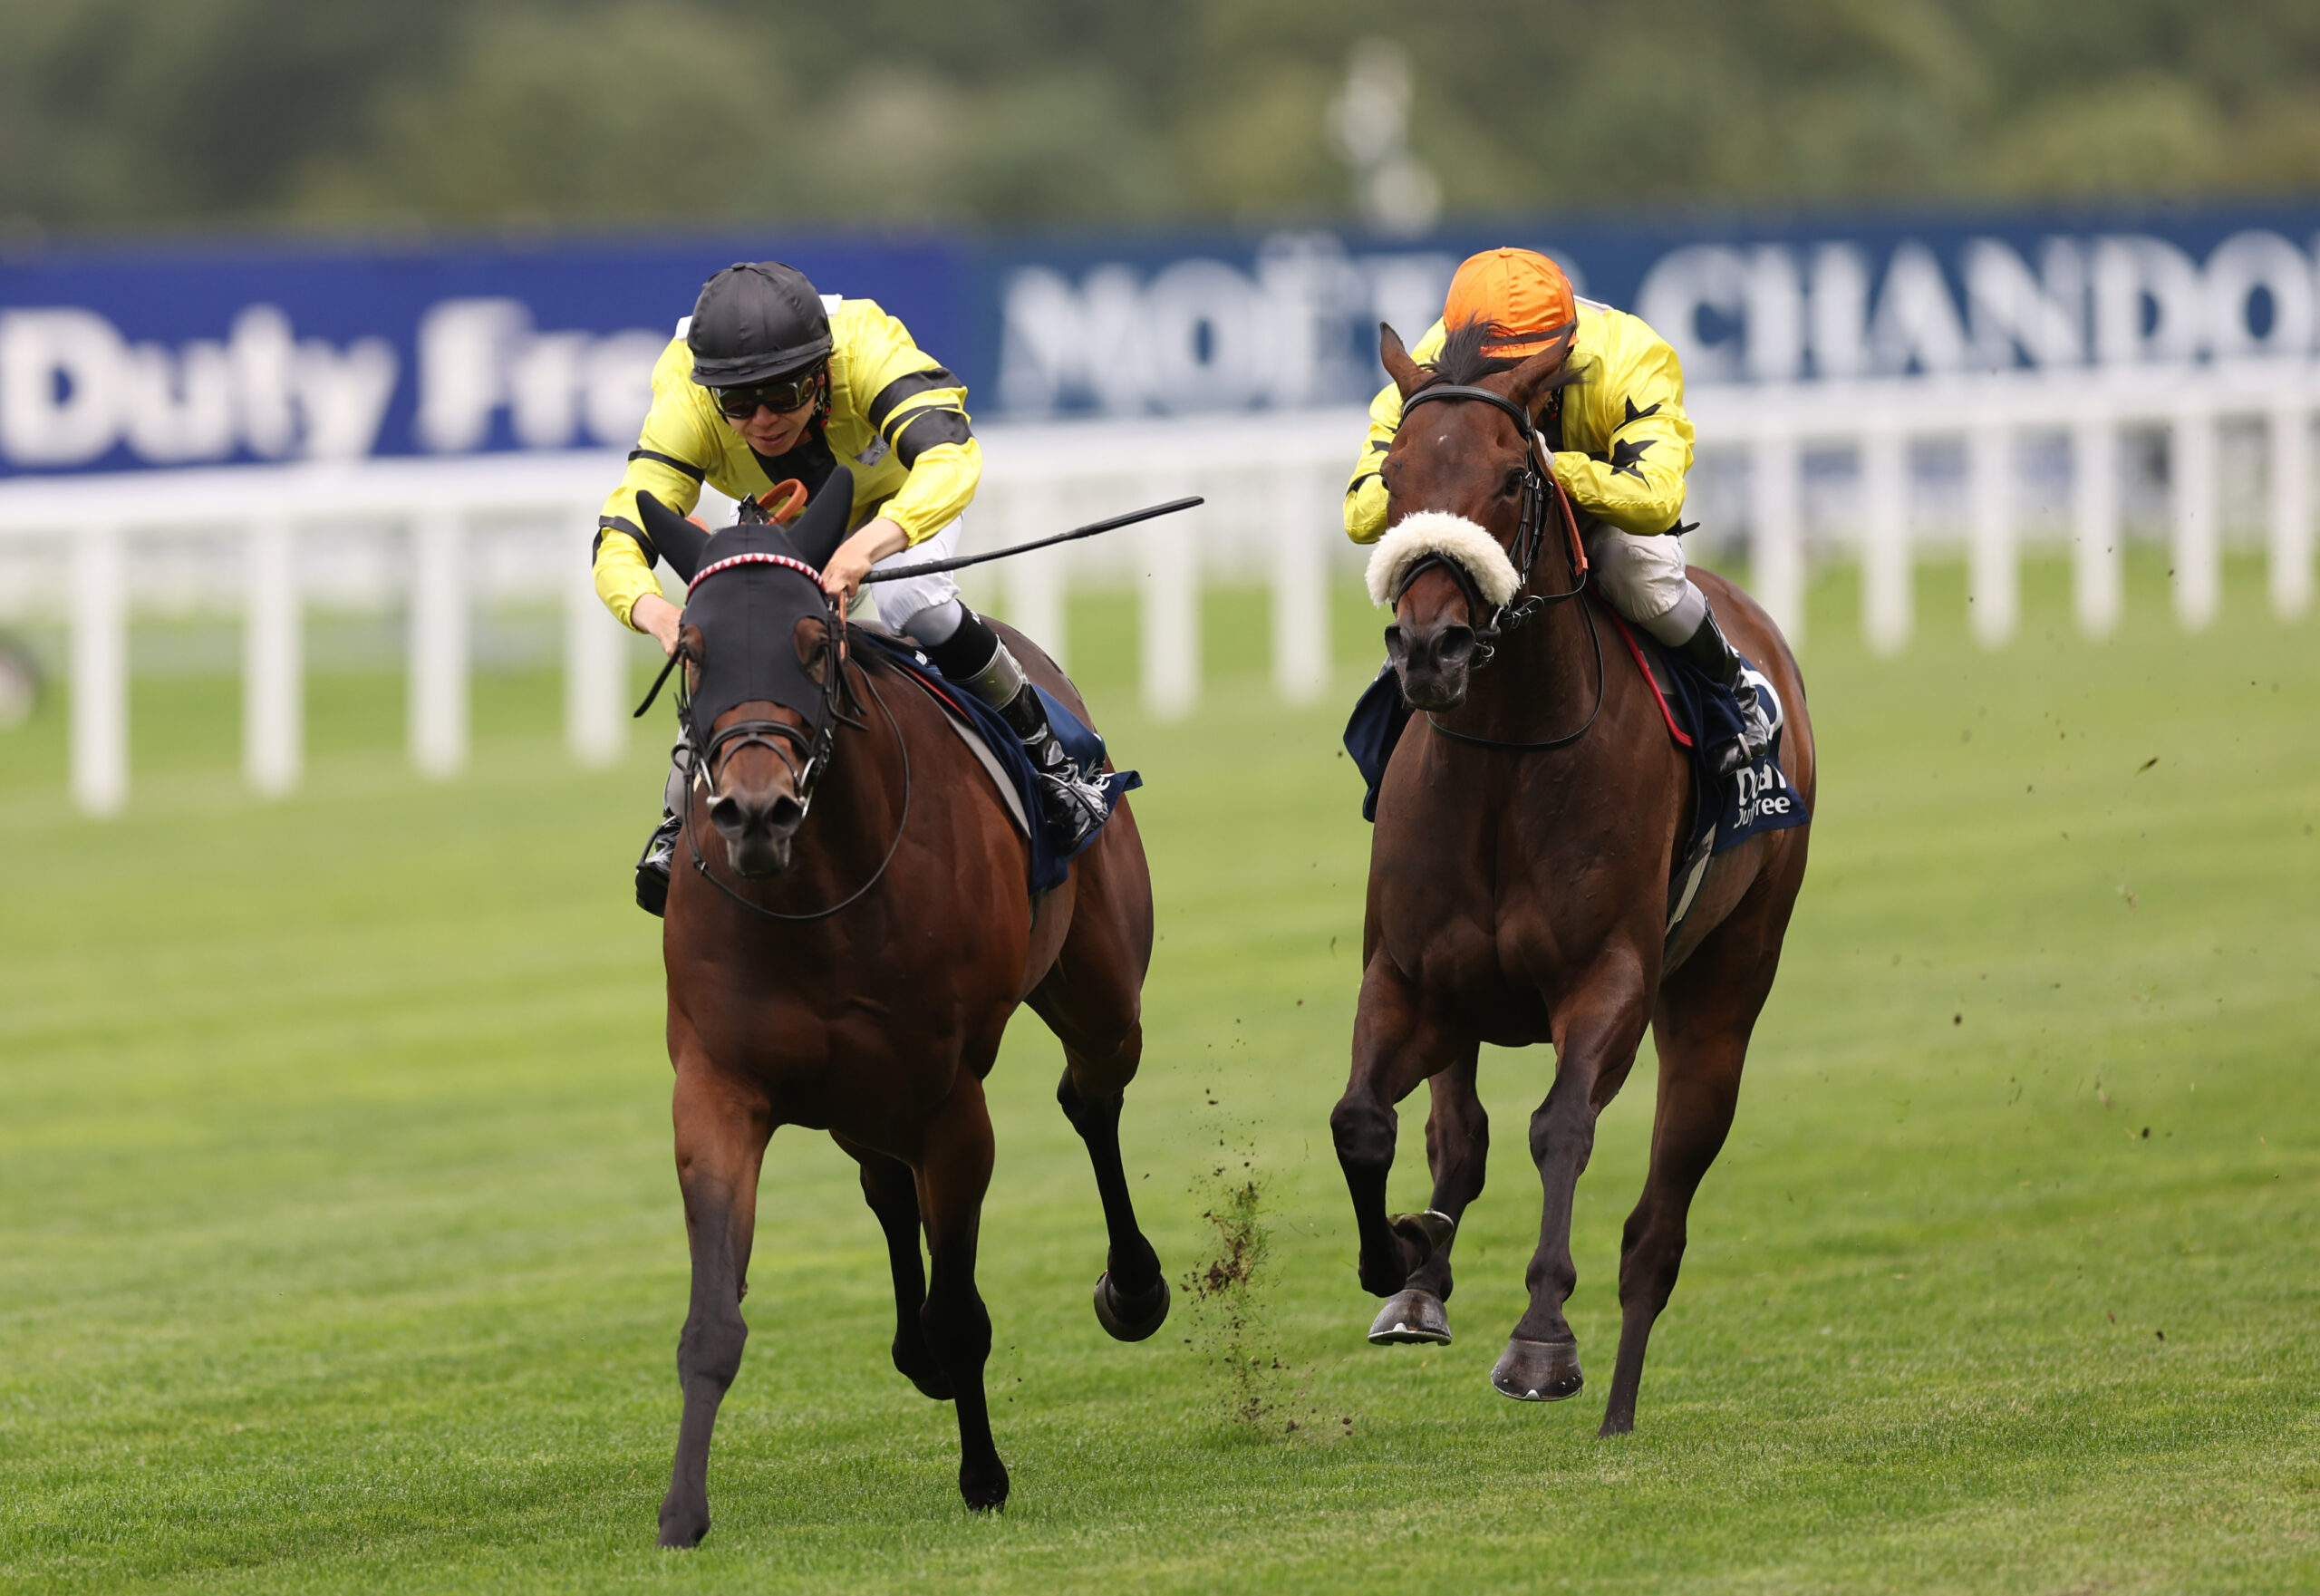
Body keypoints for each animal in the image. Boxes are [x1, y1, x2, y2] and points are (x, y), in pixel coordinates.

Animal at [635, 478, 1169, 1549]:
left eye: (813, 639)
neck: (819, 896)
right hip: (857, 1094)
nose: (755, 811)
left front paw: (984, 1476)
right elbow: (713, 1321)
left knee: (1090, 1098)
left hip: (1099, 993)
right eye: (693, 649)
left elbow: (963, 1309)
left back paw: (1132, 1287)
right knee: (886, 1188)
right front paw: (681, 1513)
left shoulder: (948, 1102)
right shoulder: (717, 1089)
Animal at [1336, 320, 1819, 1437]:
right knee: (1457, 1134)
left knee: (1656, 1229)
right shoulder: (1410, 976)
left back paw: (1619, 1411)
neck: (1507, 759)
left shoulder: (1610, 980)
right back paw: (1423, 1280)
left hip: (1724, 992)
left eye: (1515, 476)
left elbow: (1560, 1126)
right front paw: (1400, 1257)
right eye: (1394, 470)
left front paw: (1542, 1338)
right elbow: (1366, 1122)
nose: (1429, 647)